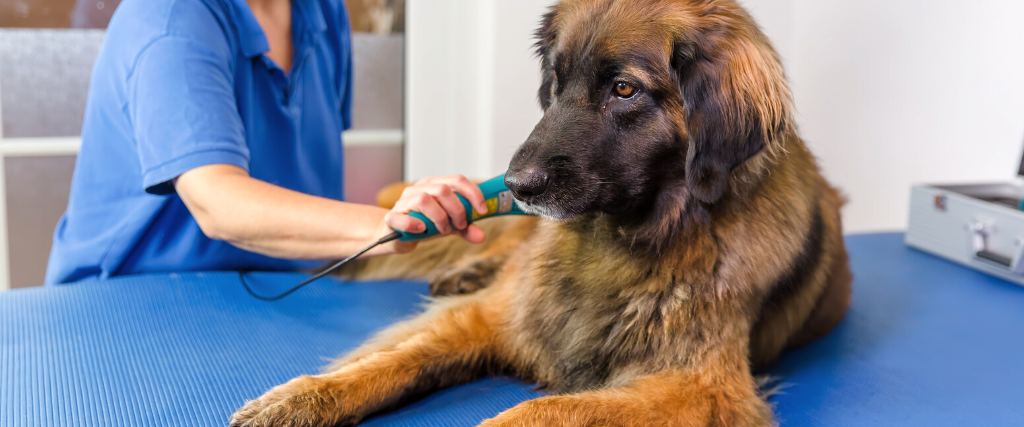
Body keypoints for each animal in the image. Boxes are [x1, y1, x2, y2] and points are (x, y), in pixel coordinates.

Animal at [230, 1, 847, 423]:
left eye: (625, 89)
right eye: (556, 79)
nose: (517, 186)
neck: (620, 240)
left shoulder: (701, 387)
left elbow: (544, 410)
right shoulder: (495, 317)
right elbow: (394, 358)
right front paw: (303, 396)